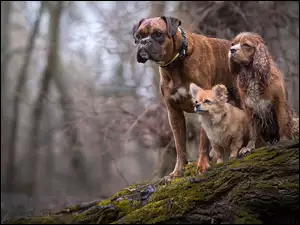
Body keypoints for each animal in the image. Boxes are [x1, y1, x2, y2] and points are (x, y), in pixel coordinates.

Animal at [131, 16, 239, 178]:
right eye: (138, 36)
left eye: (157, 34)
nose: (144, 42)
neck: (175, 64)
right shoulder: (174, 113)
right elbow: (179, 145)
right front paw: (178, 171)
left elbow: (203, 140)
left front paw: (202, 165)